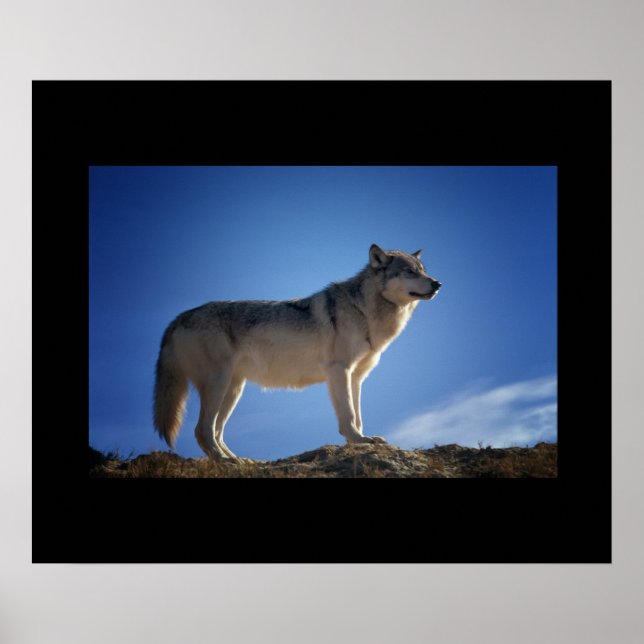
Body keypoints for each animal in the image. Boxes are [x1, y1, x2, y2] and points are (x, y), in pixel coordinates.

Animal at [153, 244, 441, 460]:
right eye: (409, 272)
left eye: (423, 271)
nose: (437, 283)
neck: (364, 310)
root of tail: (177, 318)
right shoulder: (339, 370)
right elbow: (348, 415)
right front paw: (358, 441)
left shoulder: (356, 377)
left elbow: (358, 415)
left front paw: (361, 440)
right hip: (219, 384)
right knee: (202, 430)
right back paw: (226, 462)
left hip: (233, 390)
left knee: (215, 431)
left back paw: (239, 460)